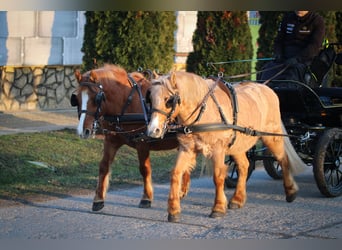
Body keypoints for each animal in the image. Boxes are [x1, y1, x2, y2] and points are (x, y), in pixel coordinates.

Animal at [70, 64, 190, 211]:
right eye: (76, 98)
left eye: (96, 98)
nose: (83, 131)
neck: (126, 103)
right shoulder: (111, 141)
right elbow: (104, 166)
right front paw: (98, 199)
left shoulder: (142, 142)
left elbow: (145, 169)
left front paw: (146, 198)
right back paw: (182, 190)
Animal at [146, 71, 306, 223]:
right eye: (150, 99)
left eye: (168, 99)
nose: (153, 131)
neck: (204, 111)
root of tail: (267, 89)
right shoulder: (187, 149)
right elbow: (175, 173)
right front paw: (174, 210)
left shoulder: (218, 149)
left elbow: (218, 176)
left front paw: (218, 208)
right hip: (238, 145)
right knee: (244, 166)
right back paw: (237, 199)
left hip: (272, 136)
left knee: (283, 159)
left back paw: (290, 191)